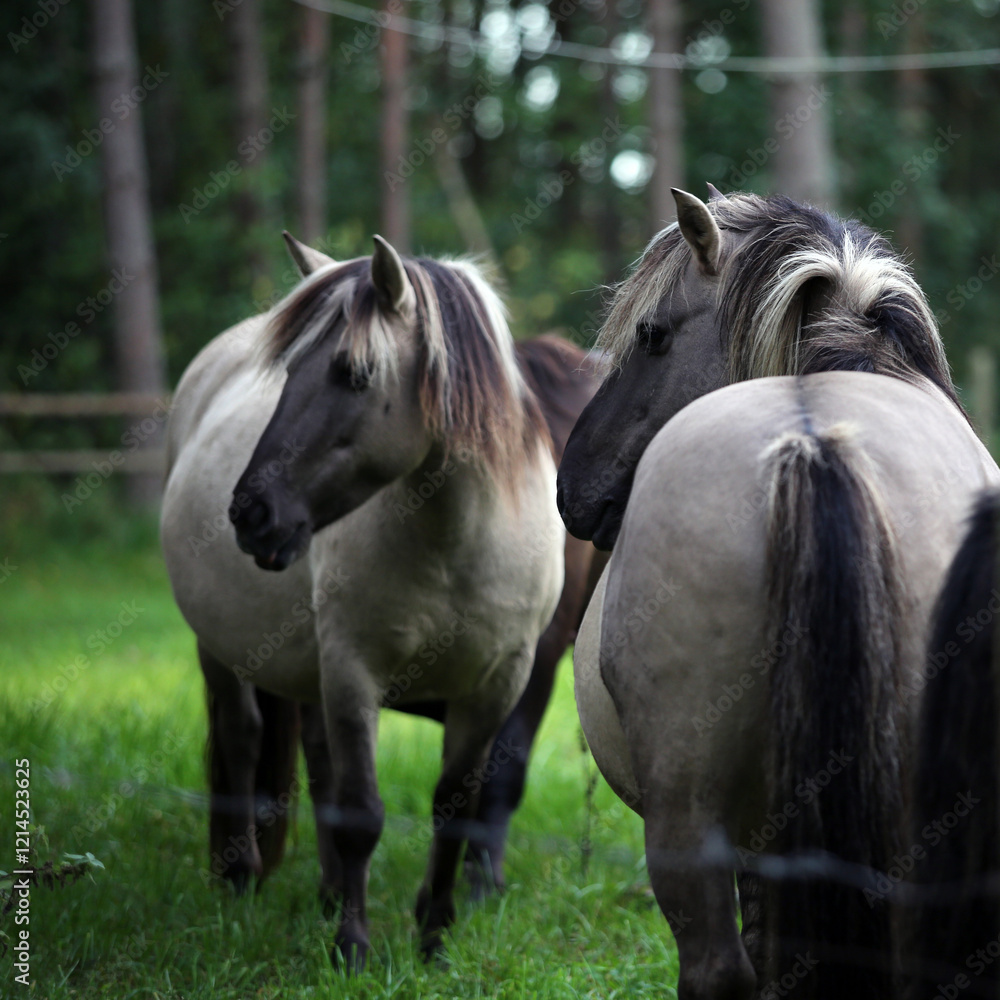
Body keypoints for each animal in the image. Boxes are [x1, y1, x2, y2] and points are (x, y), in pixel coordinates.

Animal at [160, 234, 566, 968]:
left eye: (352, 373)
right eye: (287, 372)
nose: (252, 514)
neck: (453, 546)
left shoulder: (497, 686)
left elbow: (453, 807)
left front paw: (434, 938)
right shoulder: (355, 672)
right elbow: (362, 814)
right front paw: (353, 947)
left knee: (317, 762)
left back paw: (324, 894)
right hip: (223, 650)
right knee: (241, 738)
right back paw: (241, 881)